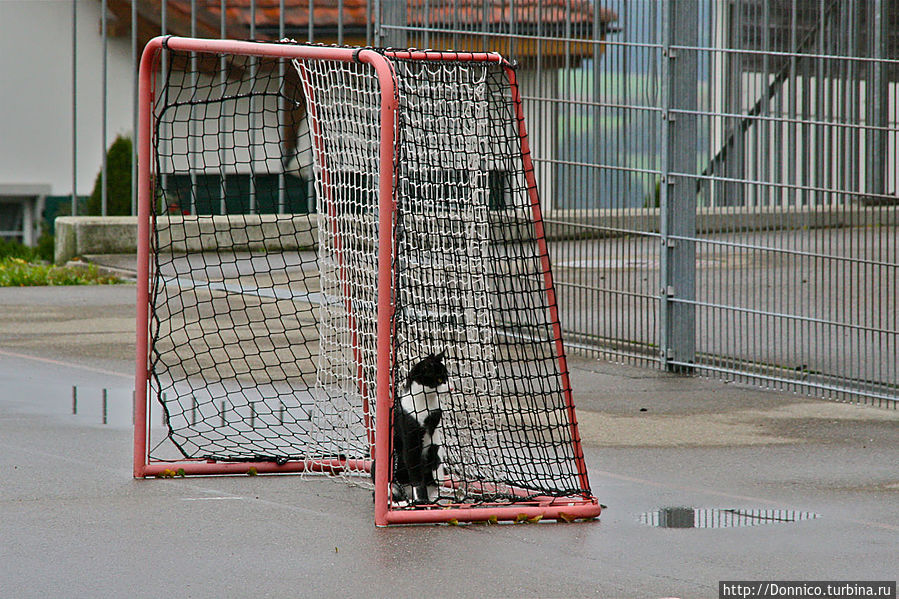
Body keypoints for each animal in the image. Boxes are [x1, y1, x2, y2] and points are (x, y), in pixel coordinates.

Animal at [394, 352, 450, 506]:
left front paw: (439, 475)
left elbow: (437, 450)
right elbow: (415, 472)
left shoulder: (435, 429)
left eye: (447, 376)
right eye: (439, 379)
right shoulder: (410, 437)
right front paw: (421, 495)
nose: (451, 387)